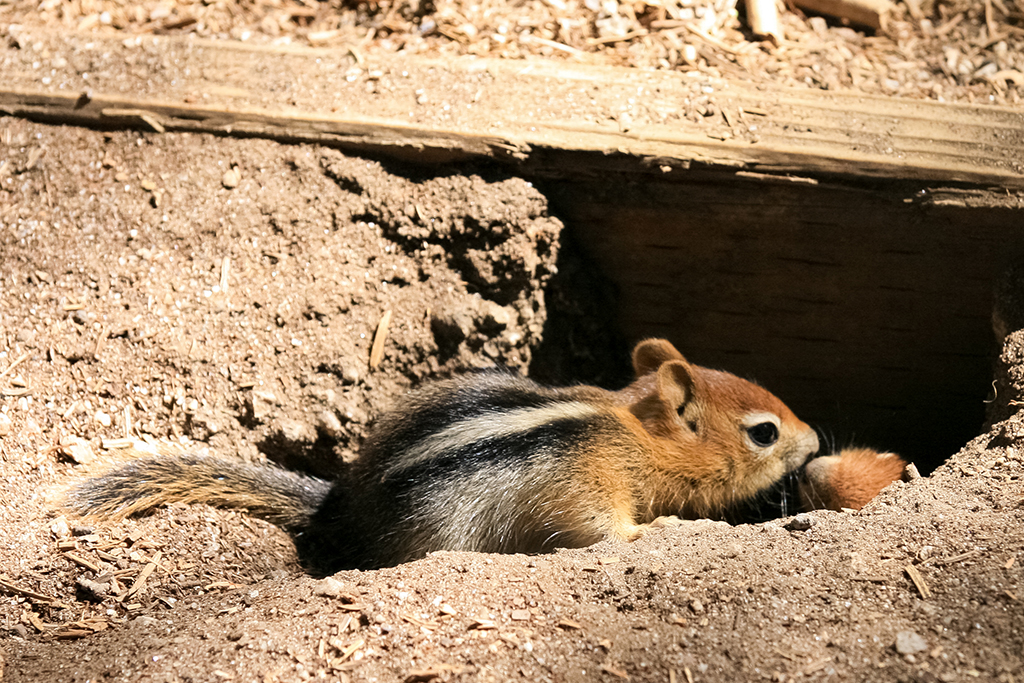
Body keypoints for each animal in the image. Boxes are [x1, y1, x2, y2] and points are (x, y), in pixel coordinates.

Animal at [72, 337, 831, 573]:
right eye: (765, 432)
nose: (816, 441)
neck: (628, 424)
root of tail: (341, 507)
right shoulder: (588, 484)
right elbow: (603, 530)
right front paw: (661, 526)